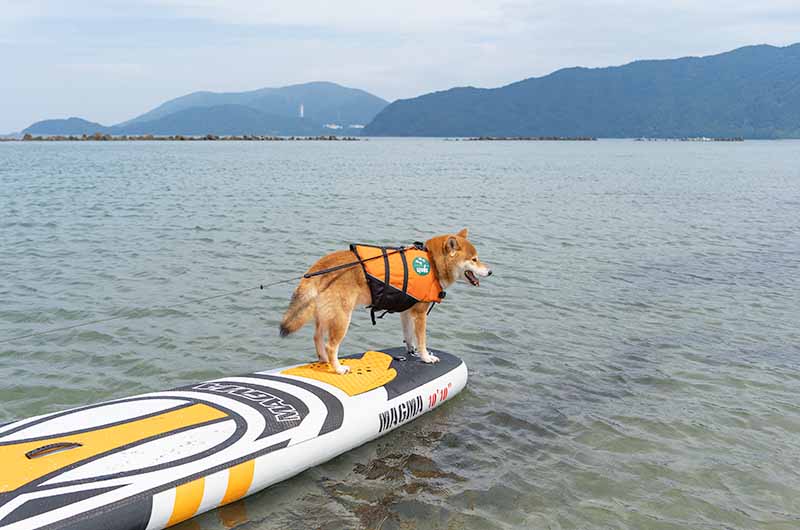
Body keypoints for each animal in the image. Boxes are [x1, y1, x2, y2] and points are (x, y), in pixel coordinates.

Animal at [282, 229, 494, 374]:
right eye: (474, 259)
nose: (490, 271)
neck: (433, 263)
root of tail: (319, 266)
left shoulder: (406, 312)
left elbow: (409, 337)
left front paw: (411, 352)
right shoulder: (420, 314)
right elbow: (422, 340)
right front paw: (426, 357)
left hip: (325, 315)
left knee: (317, 338)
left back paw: (324, 361)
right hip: (342, 318)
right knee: (331, 346)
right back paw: (338, 368)